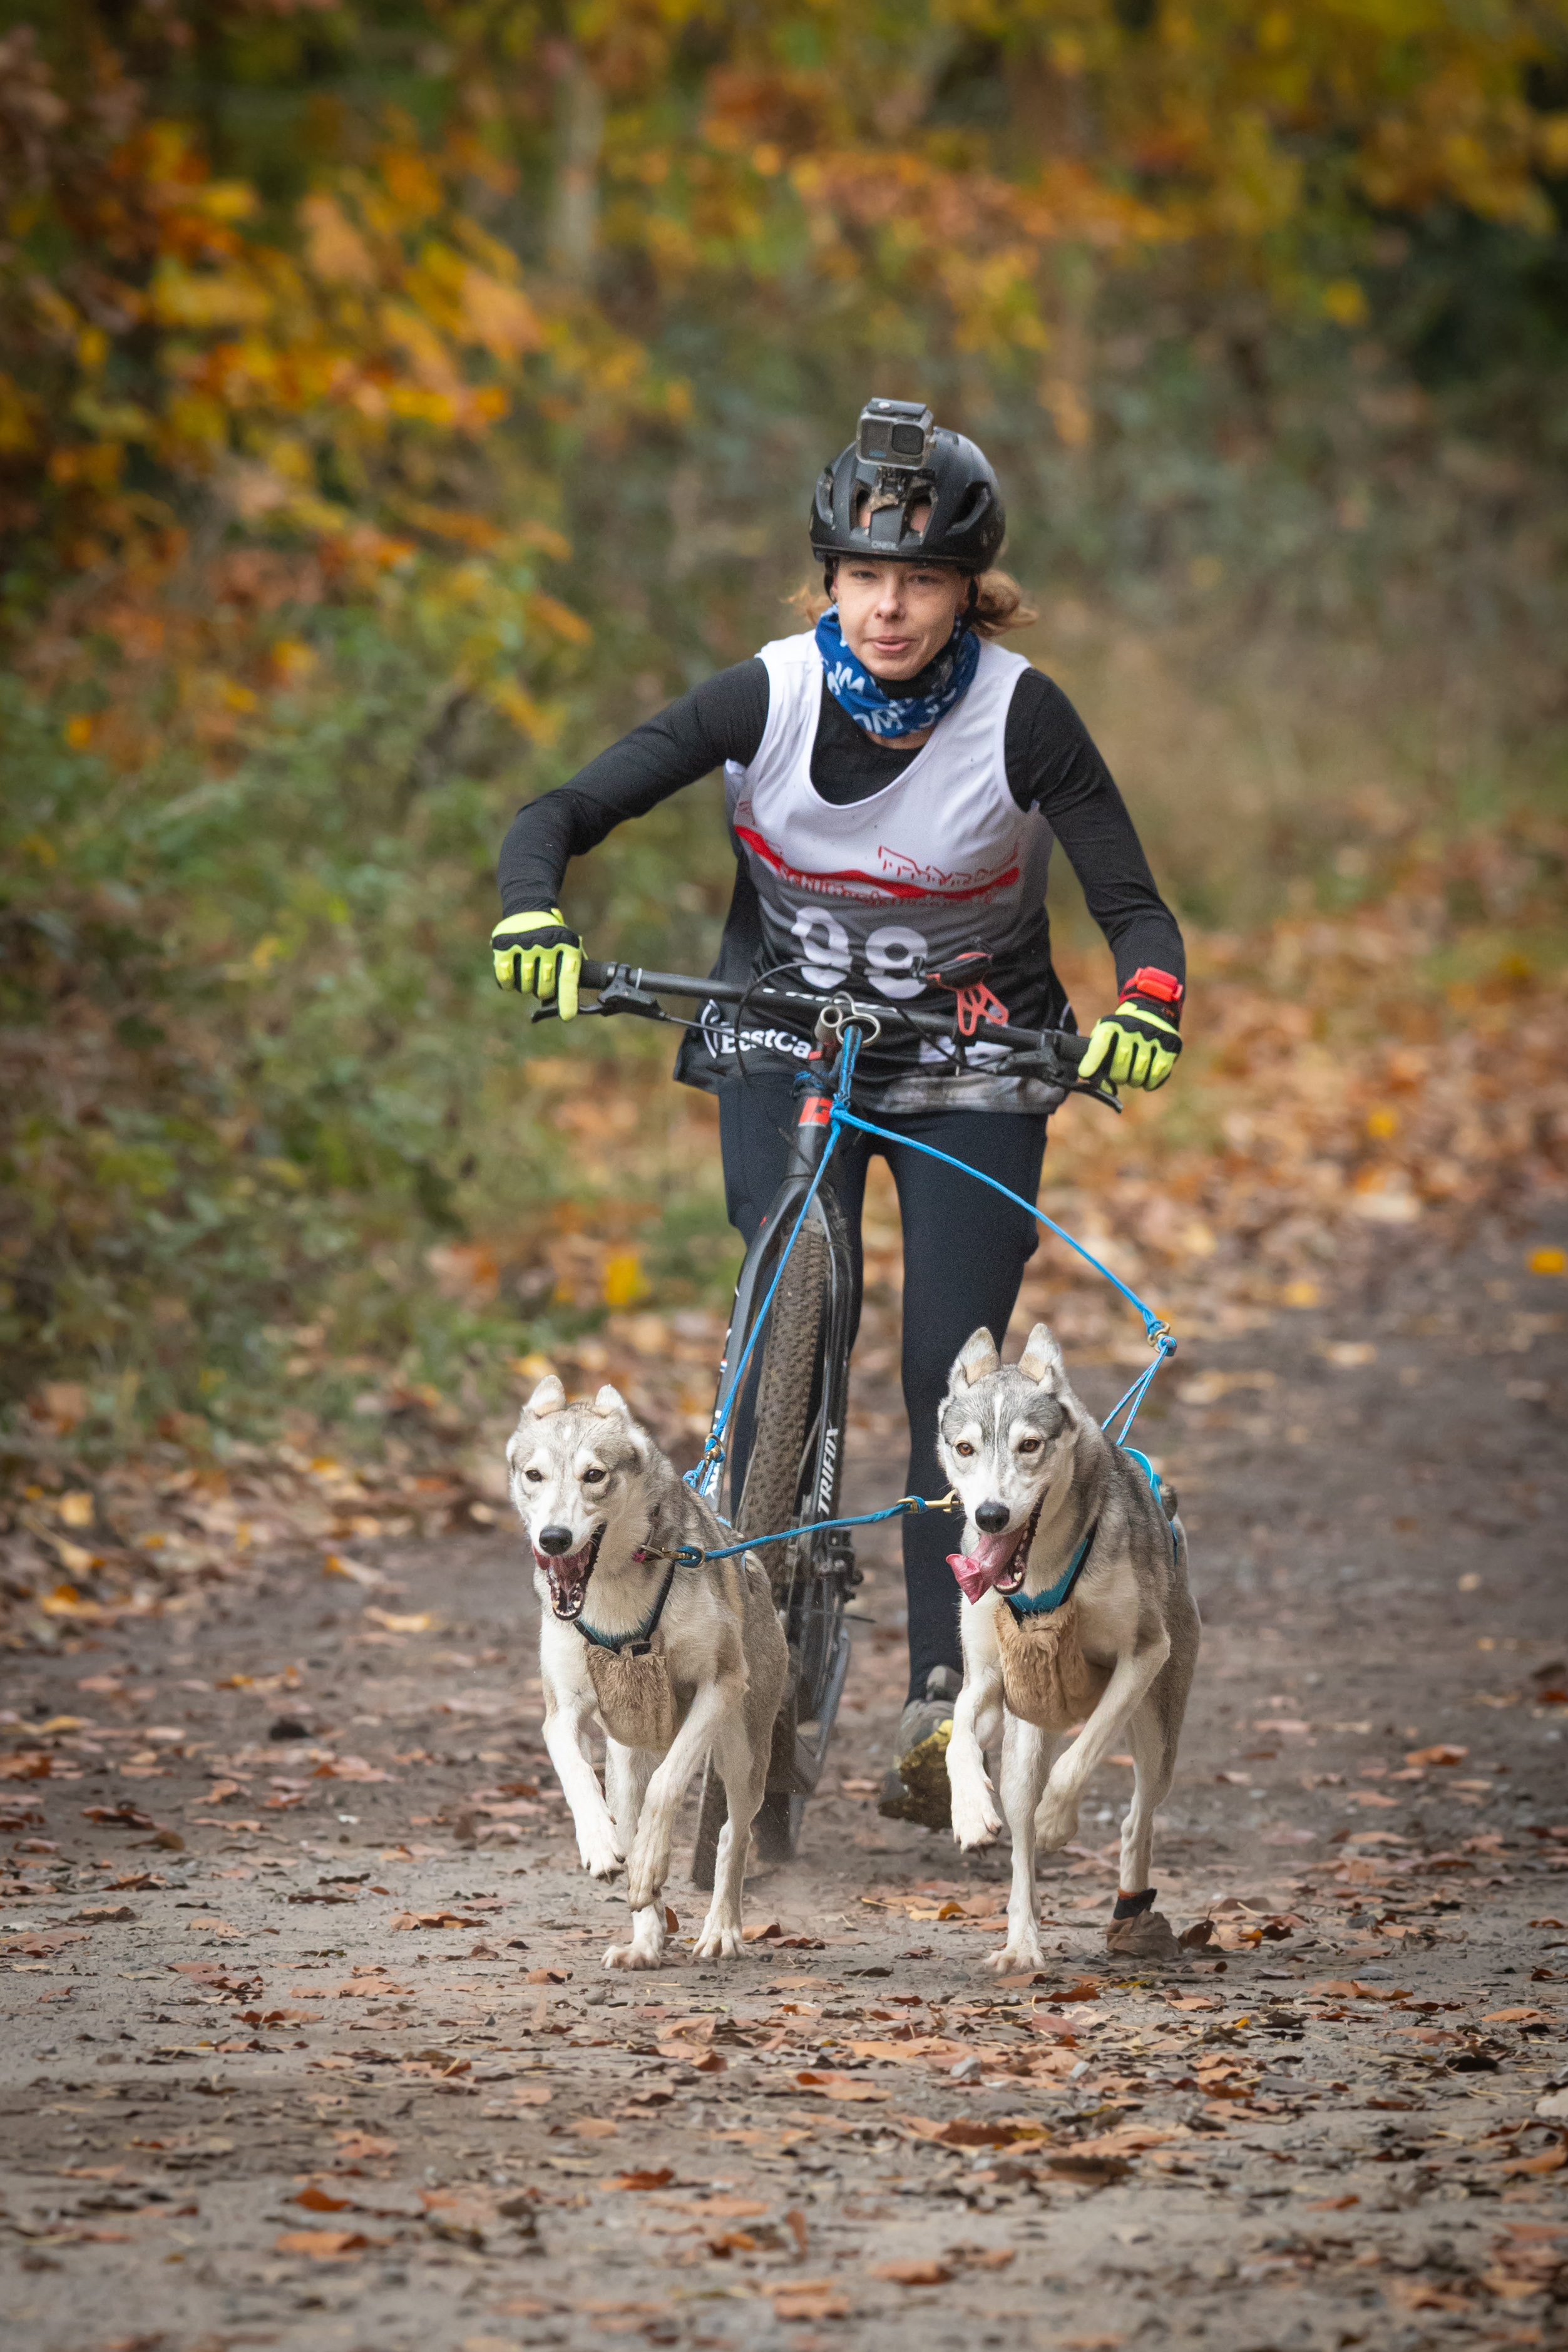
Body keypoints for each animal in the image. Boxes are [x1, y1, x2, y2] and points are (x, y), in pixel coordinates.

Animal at [508, 1375, 789, 1971]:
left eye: (594, 1475)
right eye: (533, 1475)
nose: (553, 1538)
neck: (614, 1595)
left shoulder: (718, 1684)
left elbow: (669, 1787)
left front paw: (648, 1862)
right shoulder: (560, 1713)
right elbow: (575, 1775)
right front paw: (599, 1847)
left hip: (742, 1751)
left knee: (732, 1835)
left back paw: (718, 1929)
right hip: (625, 1759)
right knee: (631, 1818)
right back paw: (644, 1941)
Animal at [937, 1323, 1199, 1974]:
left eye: (1029, 1445)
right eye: (964, 1448)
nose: (990, 1514)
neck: (1044, 1576)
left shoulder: (1142, 1654)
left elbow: (1084, 1753)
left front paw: (1058, 1817)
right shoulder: (987, 1679)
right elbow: (957, 1738)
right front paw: (970, 1813)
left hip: (1158, 1732)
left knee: (1136, 1816)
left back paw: (1133, 1915)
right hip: (1023, 1740)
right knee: (1021, 1845)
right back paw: (1021, 1941)